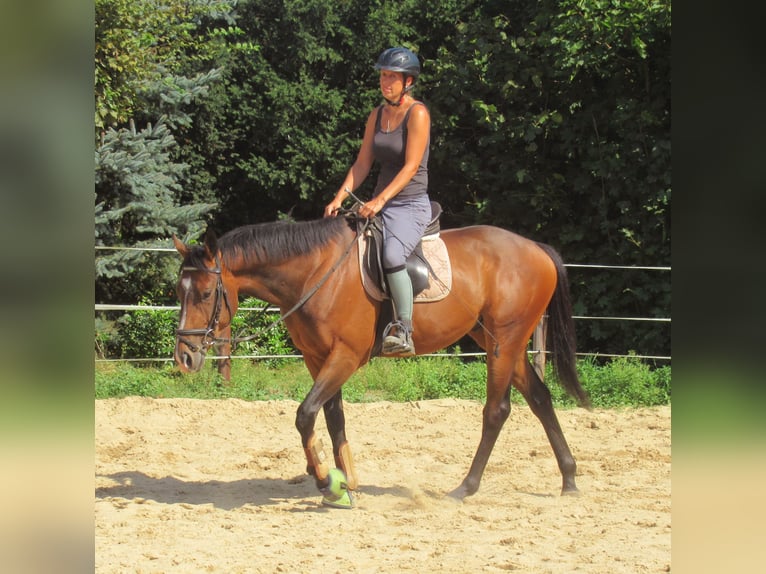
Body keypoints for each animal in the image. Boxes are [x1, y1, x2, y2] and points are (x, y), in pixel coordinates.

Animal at [174, 215, 592, 504]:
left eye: (206, 293)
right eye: (178, 291)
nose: (185, 356)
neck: (316, 273)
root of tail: (535, 248)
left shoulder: (345, 355)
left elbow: (306, 414)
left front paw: (326, 479)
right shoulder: (317, 357)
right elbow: (333, 416)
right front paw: (345, 478)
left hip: (505, 341)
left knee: (497, 410)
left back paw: (467, 486)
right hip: (500, 341)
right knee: (540, 398)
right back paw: (569, 479)